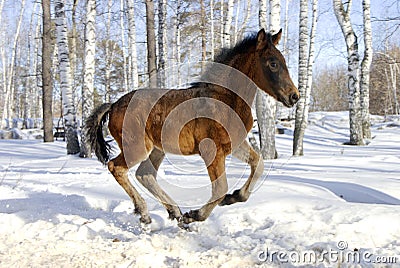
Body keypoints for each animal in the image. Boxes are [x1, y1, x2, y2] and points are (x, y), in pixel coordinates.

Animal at [86, 29, 300, 229]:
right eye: (273, 63)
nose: (294, 96)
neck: (226, 99)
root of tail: (113, 105)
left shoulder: (234, 145)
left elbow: (258, 164)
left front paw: (234, 197)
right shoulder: (211, 151)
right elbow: (220, 188)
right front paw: (196, 215)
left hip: (157, 149)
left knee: (144, 174)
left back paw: (175, 212)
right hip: (137, 147)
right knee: (116, 167)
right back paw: (146, 213)